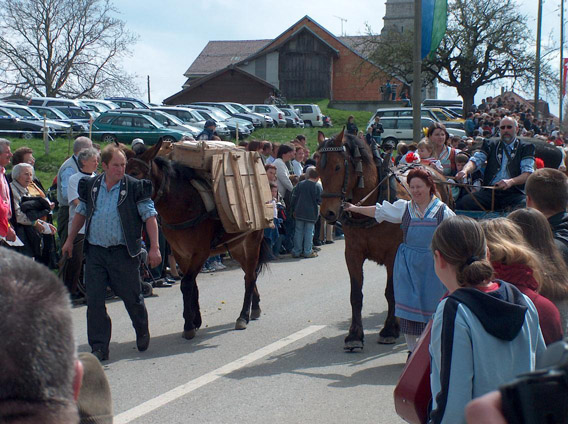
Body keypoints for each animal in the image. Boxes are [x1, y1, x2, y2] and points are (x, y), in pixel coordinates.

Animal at [126, 141, 270, 340]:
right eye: (123, 169)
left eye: (135, 173)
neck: (183, 205)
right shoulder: (181, 254)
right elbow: (191, 284)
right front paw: (196, 320)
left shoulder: (199, 253)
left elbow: (187, 284)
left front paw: (189, 325)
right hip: (236, 248)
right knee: (251, 275)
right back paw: (254, 307)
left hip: (251, 243)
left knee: (250, 276)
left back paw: (243, 316)